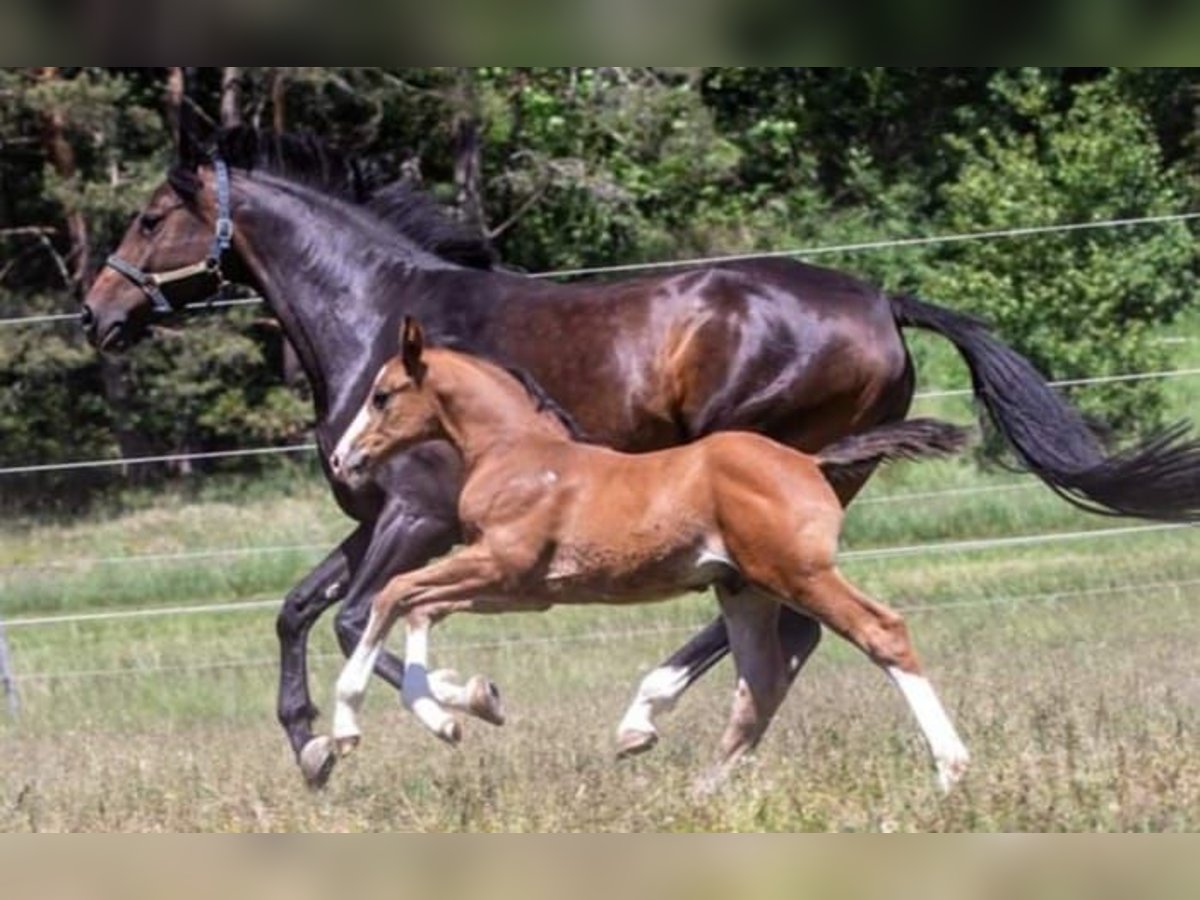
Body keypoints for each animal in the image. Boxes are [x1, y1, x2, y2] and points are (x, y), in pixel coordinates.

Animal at [328, 321, 974, 792]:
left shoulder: (500, 567)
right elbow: (418, 607)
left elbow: (394, 594)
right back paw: (704, 786)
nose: (341, 459)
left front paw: (351, 726)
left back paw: (951, 767)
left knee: (881, 632)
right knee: (760, 681)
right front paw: (464, 705)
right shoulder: (520, 591)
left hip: (799, 575)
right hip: (744, 590)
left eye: (381, 395)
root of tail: (810, 462)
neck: (520, 455)